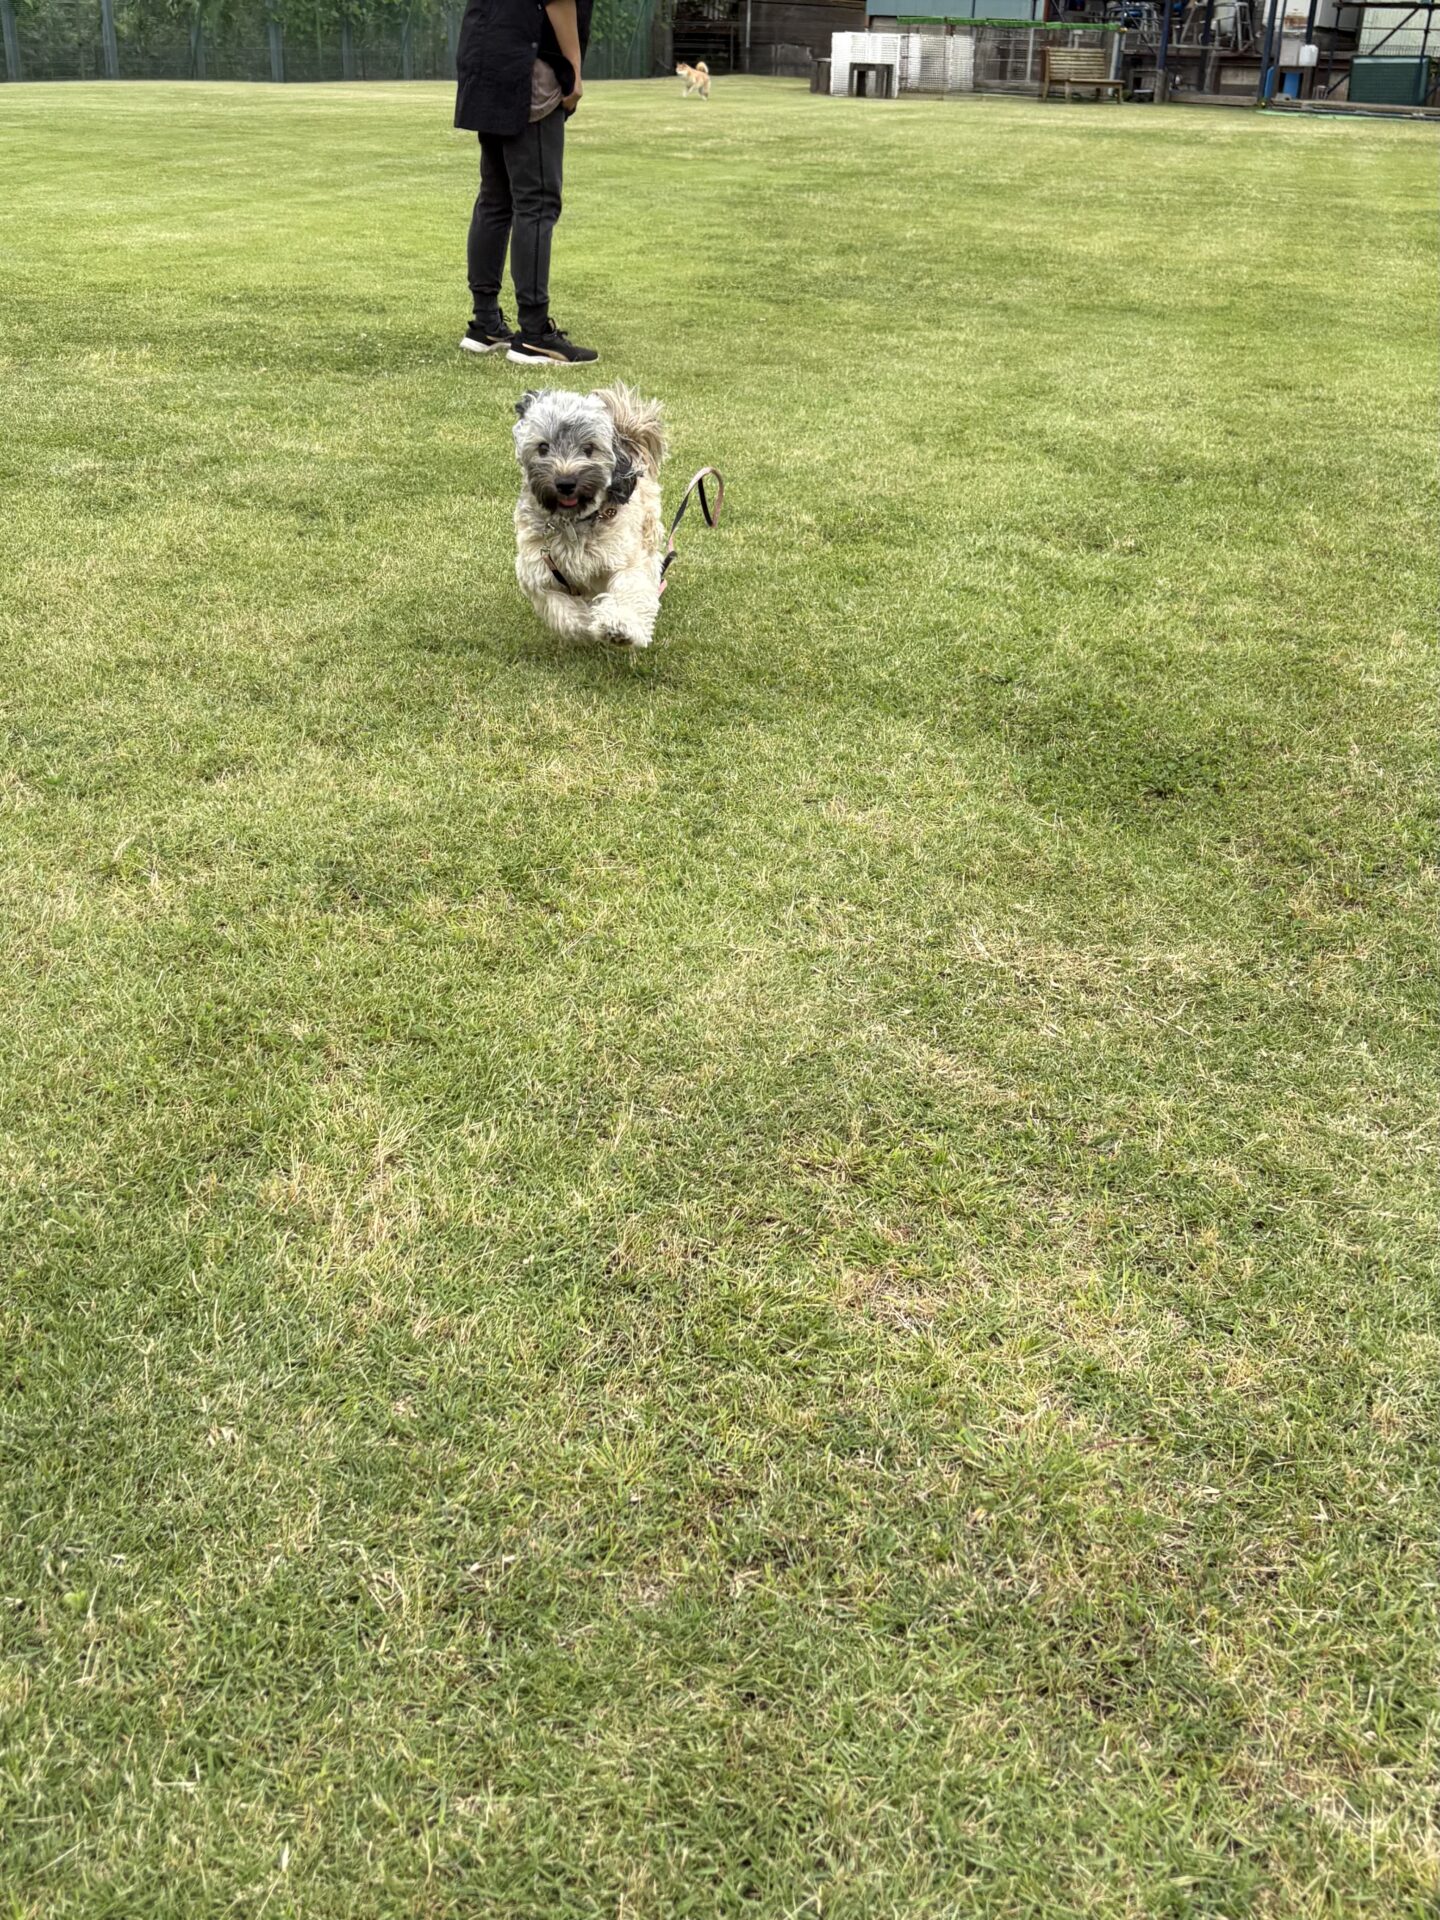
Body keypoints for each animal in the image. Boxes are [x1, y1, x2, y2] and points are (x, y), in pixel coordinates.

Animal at [512, 384, 668, 650]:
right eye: (543, 447)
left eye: (589, 449)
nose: (565, 483)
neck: (574, 523)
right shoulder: (538, 572)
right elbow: (562, 610)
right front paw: (587, 622)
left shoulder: (625, 559)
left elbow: (629, 589)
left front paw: (620, 626)